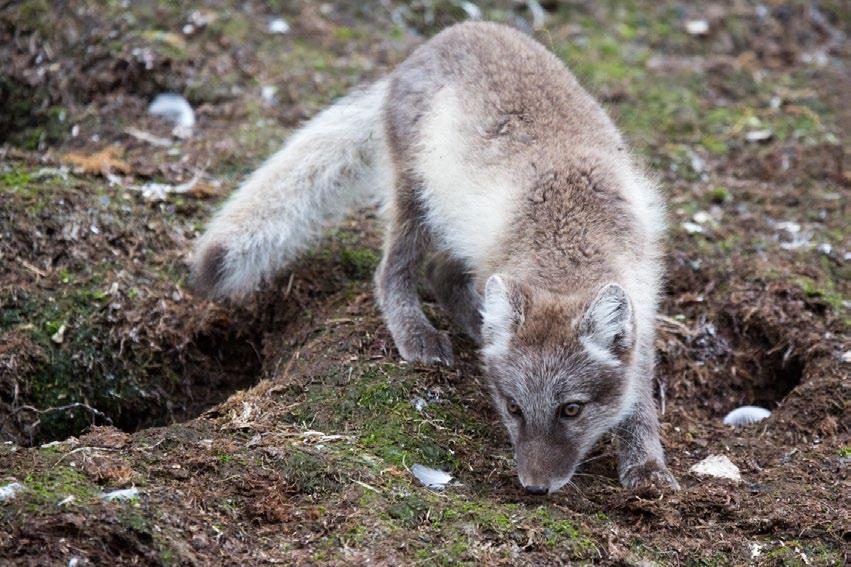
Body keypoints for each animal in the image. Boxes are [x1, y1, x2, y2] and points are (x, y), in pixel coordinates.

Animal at [191, 22, 680, 492]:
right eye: (514, 407)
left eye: (571, 409)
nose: (534, 489)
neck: (567, 241)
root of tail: (424, 49)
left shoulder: (643, 305)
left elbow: (639, 396)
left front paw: (646, 466)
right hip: (417, 194)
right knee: (394, 271)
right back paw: (420, 334)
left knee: (440, 271)